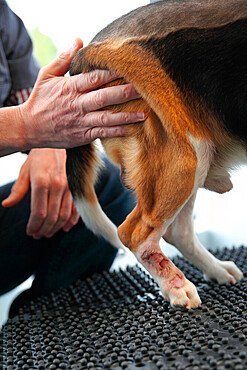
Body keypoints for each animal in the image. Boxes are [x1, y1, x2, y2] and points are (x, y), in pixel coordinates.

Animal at [66, 0, 246, 308]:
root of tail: (85, 53)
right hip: (184, 156)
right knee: (133, 233)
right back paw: (176, 286)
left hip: (193, 158)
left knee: (177, 231)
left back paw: (216, 269)